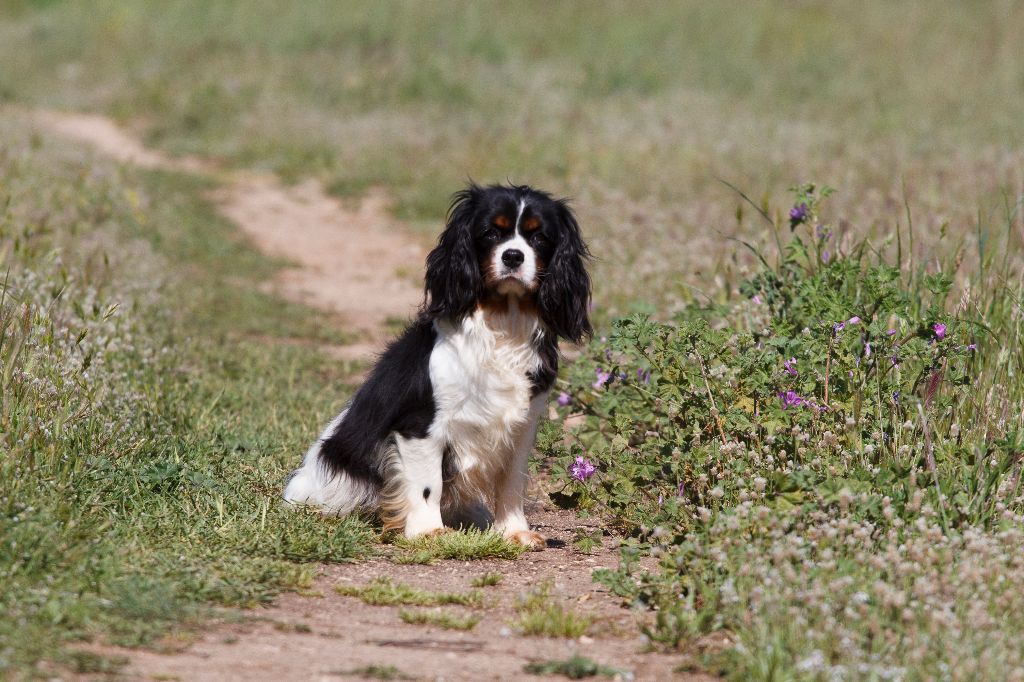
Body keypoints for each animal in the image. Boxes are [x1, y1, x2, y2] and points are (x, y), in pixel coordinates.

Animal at [286, 183, 593, 544]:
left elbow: (511, 481)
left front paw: (515, 531)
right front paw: (428, 531)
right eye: (490, 233)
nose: (513, 256)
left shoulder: (521, 428)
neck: (503, 322)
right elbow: (426, 484)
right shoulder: (420, 426)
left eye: (539, 237)